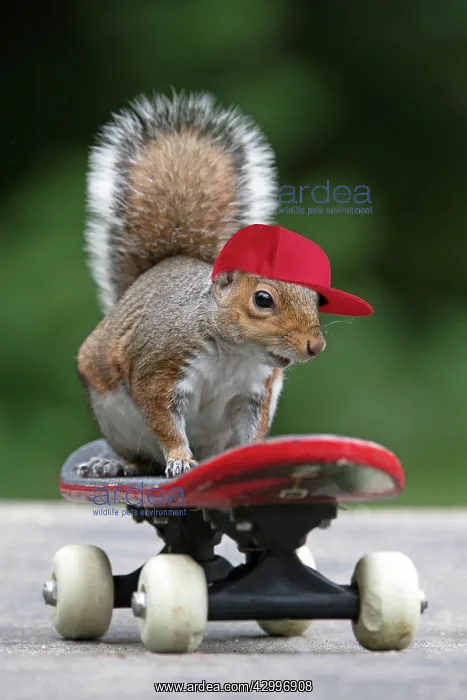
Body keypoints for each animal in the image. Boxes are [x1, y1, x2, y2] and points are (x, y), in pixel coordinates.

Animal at [76, 91, 368, 480]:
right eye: (263, 299)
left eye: (317, 298)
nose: (315, 346)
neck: (233, 355)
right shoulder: (159, 368)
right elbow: (164, 422)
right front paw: (180, 459)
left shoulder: (254, 393)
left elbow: (253, 428)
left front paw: (254, 455)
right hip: (115, 418)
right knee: (143, 458)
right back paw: (114, 464)